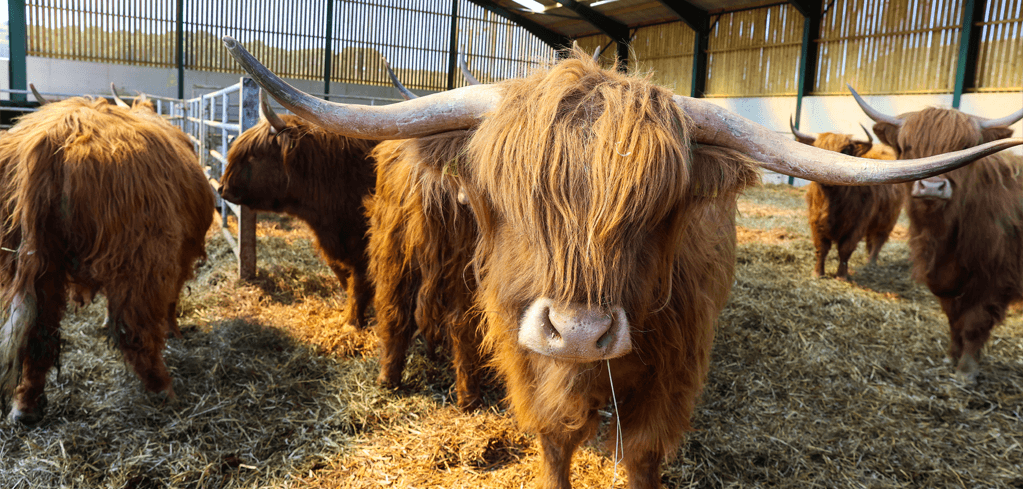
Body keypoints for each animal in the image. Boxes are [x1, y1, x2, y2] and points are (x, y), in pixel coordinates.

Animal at [0, 96, 216, 426]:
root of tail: (54, 136)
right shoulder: (180, 255)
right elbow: (171, 301)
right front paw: (173, 332)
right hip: (142, 255)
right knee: (133, 327)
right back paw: (162, 389)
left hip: (38, 261)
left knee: (39, 330)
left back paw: (26, 406)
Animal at [219, 92, 376, 329]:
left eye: (254, 154)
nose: (222, 188)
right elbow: (342, 274)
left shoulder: (364, 244)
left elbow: (358, 284)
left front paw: (351, 322)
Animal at [790, 119, 906, 279]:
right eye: (818, 150)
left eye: (845, 151)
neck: (831, 201)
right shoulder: (816, 221)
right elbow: (822, 248)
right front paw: (817, 273)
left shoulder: (857, 225)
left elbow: (845, 249)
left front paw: (841, 275)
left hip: (888, 219)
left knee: (879, 240)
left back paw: (871, 262)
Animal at [851, 87, 1023, 384]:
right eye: (908, 147)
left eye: (965, 148)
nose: (932, 187)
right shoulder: (943, 278)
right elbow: (953, 317)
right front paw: (951, 356)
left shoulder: (996, 277)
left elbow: (975, 322)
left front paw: (966, 371)